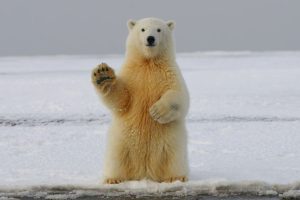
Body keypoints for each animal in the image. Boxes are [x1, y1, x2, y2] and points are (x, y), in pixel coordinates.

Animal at [91, 18, 190, 184]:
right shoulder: (132, 76)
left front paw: (157, 111)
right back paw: (113, 179)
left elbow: (180, 96)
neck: (148, 62)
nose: (150, 38)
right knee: (116, 158)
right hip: (121, 141)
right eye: (143, 29)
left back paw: (176, 177)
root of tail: (145, 172)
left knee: (174, 158)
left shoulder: (170, 74)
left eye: (159, 30)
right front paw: (103, 74)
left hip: (172, 141)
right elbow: (121, 99)